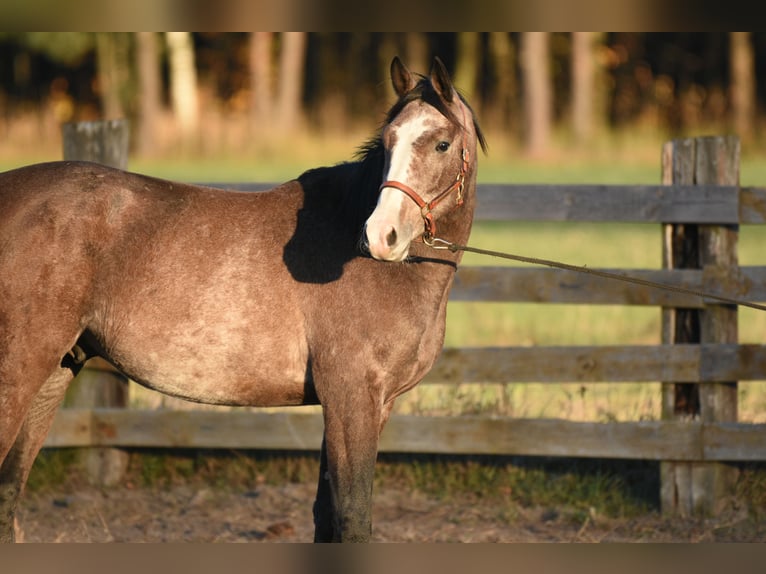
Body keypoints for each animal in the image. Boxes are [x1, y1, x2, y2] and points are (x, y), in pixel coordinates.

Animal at [0, 55, 486, 544]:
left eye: (441, 144)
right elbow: (351, 517)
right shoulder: (352, 400)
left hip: (54, 374)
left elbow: (326, 516)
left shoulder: (368, 405)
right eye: (388, 142)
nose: (380, 236)